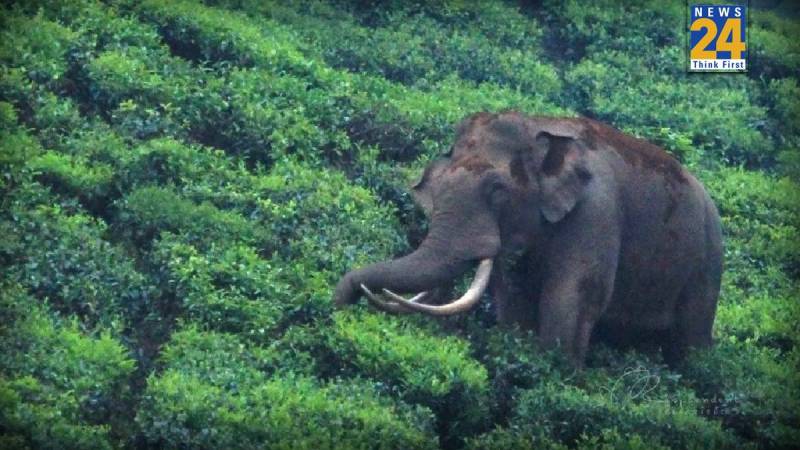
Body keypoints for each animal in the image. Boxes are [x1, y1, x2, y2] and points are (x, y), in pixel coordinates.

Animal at [333, 111, 723, 365]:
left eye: (497, 190)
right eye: (437, 189)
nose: (339, 307)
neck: (539, 128)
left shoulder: (597, 212)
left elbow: (574, 297)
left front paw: (558, 378)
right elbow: (514, 299)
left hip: (707, 262)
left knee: (691, 339)